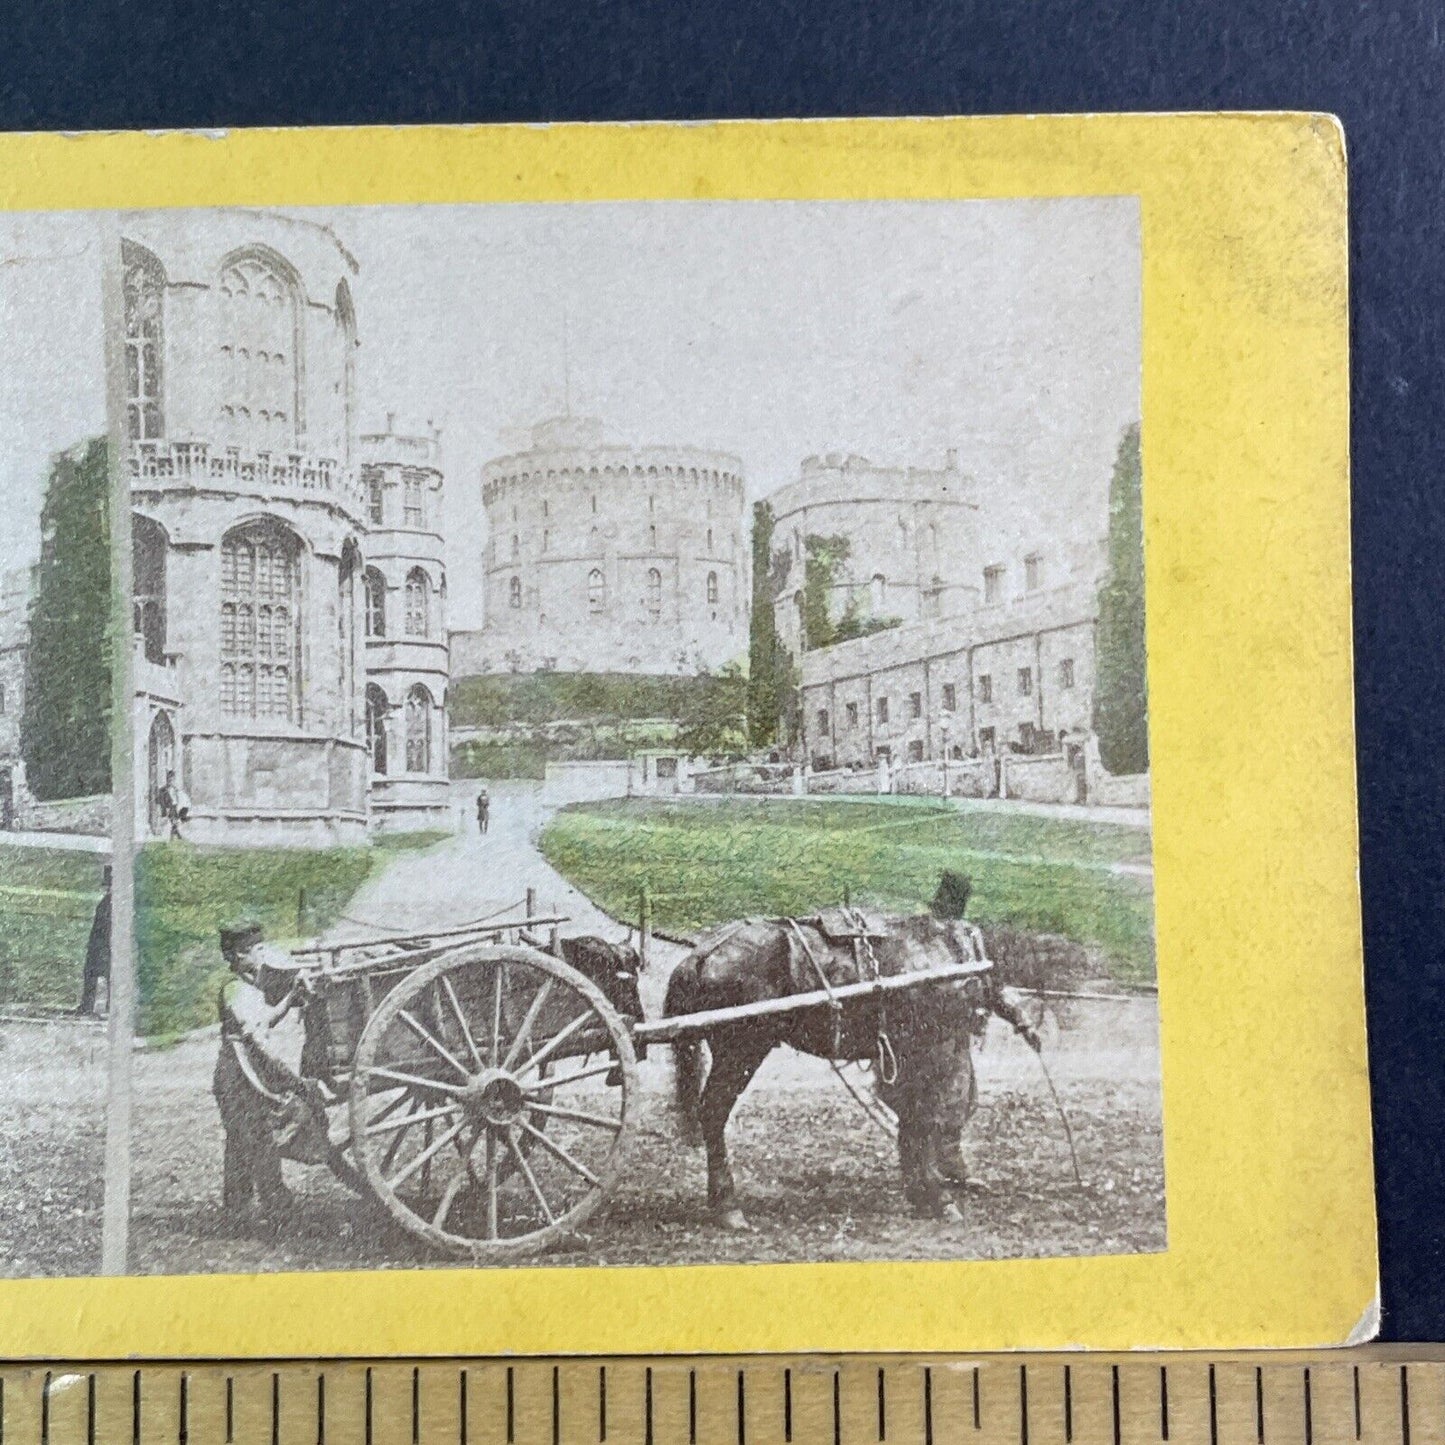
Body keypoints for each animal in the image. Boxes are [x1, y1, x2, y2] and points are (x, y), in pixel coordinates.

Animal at [664, 872, 1040, 1225]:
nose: (1004, 1005)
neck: (937, 955)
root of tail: (701, 955)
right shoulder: (934, 1048)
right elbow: (927, 1115)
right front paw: (937, 1195)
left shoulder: (908, 1053)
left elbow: (914, 1118)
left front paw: (923, 1190)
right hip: (741, 1050)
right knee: (713, 1112)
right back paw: (726, 1204)